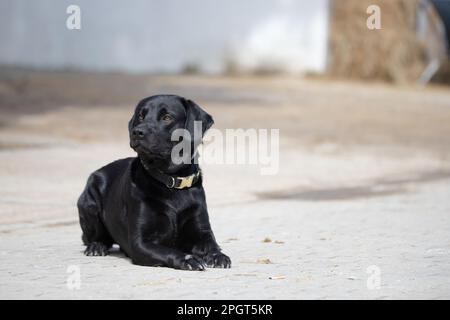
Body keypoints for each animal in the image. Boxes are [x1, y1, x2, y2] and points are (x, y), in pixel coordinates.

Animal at [77, 94, 230, 270]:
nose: (137, 132)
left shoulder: (202, 231)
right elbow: (168, 251)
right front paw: (187, 259)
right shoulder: (140, 243)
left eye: (167, 117)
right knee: (91, 238)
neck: (171, 181)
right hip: (89, 203)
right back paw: (96, 246)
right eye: (140, 116)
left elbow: (212, 244)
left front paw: (218, 256)